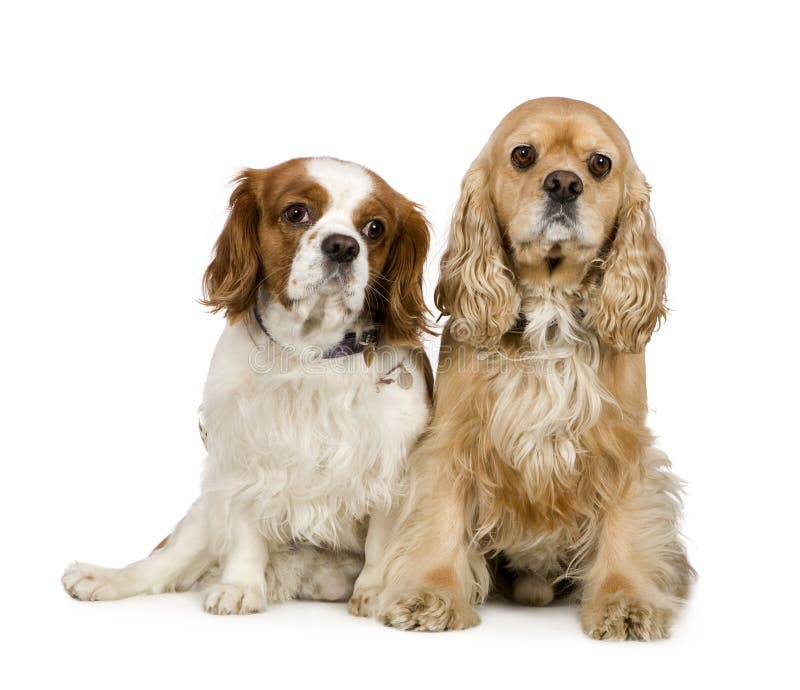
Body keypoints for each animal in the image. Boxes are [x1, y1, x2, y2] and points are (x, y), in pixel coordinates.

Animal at [64, 157, 432, 612]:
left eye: (375, 228)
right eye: (296, 213)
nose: (343, 247)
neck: (310, 354)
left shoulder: (391, 462)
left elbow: (383, 541)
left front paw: (376, 592)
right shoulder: (243, 445)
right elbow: (244, 530)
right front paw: (241, 587)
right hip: (206, 506)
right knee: (165, 561)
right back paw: (106, 578)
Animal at [376, 98, 692, 640]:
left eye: (600, 163)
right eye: (523, 154)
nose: (564, 183)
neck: (551, 309)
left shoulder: (623, 444)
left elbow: (626, 522)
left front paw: (626, 601)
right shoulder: (453, 437)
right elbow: (439, 516)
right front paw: (430, 594)